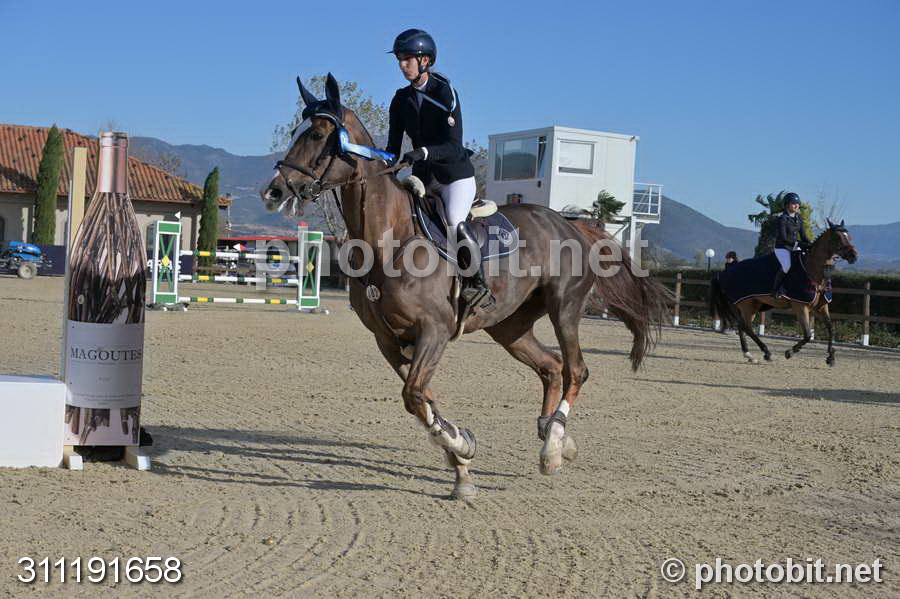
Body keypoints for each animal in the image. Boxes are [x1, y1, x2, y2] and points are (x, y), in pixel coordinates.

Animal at [261, 74, 671, 500]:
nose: (274, 191)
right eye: (295, 133)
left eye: (318, 134)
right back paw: (556, 439)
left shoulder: (434, 331)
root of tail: (570, 224)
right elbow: (422, 401)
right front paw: (461, 463)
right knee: (551, 368)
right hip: (509, 327)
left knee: (576, 370)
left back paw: (553, 447)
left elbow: (414, 395)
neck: (387, 242)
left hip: (565, 309)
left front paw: (461, 447)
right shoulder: (388, 340)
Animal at [709, 220, 858, 366]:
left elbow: (830, 328)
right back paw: (766, 353)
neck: (812, 270)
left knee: (743, 326)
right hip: (746, 304)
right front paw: (789, 352)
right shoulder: (800, 306)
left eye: (849, 237)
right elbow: (807, 335)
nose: (854, 256)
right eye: (837, 237)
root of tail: (725, 273)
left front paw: (831, 357)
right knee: (746, 327)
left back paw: (749, 355)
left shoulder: (821, 306)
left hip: (752, 306)